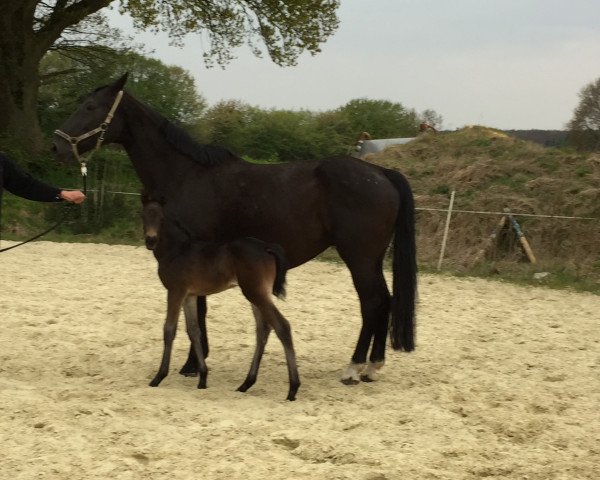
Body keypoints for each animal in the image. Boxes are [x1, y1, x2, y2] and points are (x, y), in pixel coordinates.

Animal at [141, 196, 300, 402]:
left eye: (161, 219)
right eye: (143, 216)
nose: (150, 240)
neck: (177, 251)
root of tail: (267, 247)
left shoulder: (175, 291)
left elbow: (169, 330)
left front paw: (158, 377)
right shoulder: (190, 295)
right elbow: (194, 331)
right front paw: (202, 379)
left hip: (255, 293)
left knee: (282, 326)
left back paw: (293, 388)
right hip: (257, 295)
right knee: (263, 331)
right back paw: (246, 383)